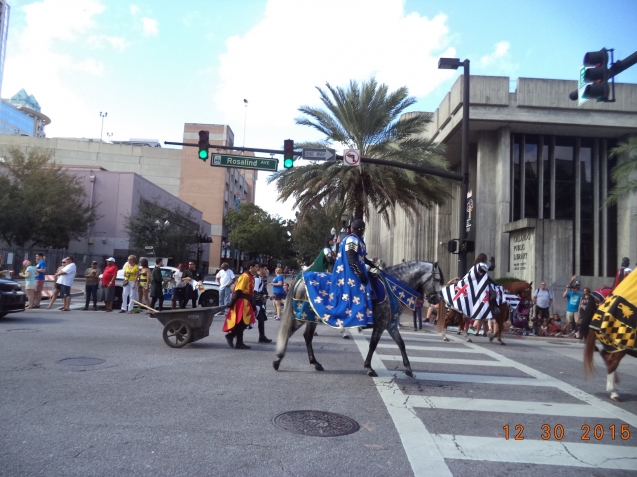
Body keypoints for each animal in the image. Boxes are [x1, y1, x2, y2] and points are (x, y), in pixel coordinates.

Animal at [270, 260, 442, 376]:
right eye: (438, 279)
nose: (436, 300)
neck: (392, 288)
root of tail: (301, 279)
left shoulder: (391, 325)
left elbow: (401, 344)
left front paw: (408, 369)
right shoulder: (381, 324)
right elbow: (373, 345)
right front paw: (369, 367)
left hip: (311, 318)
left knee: (307, 336)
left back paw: (314, 363)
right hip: (302, 316)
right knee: (290, 333)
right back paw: (278, 360)